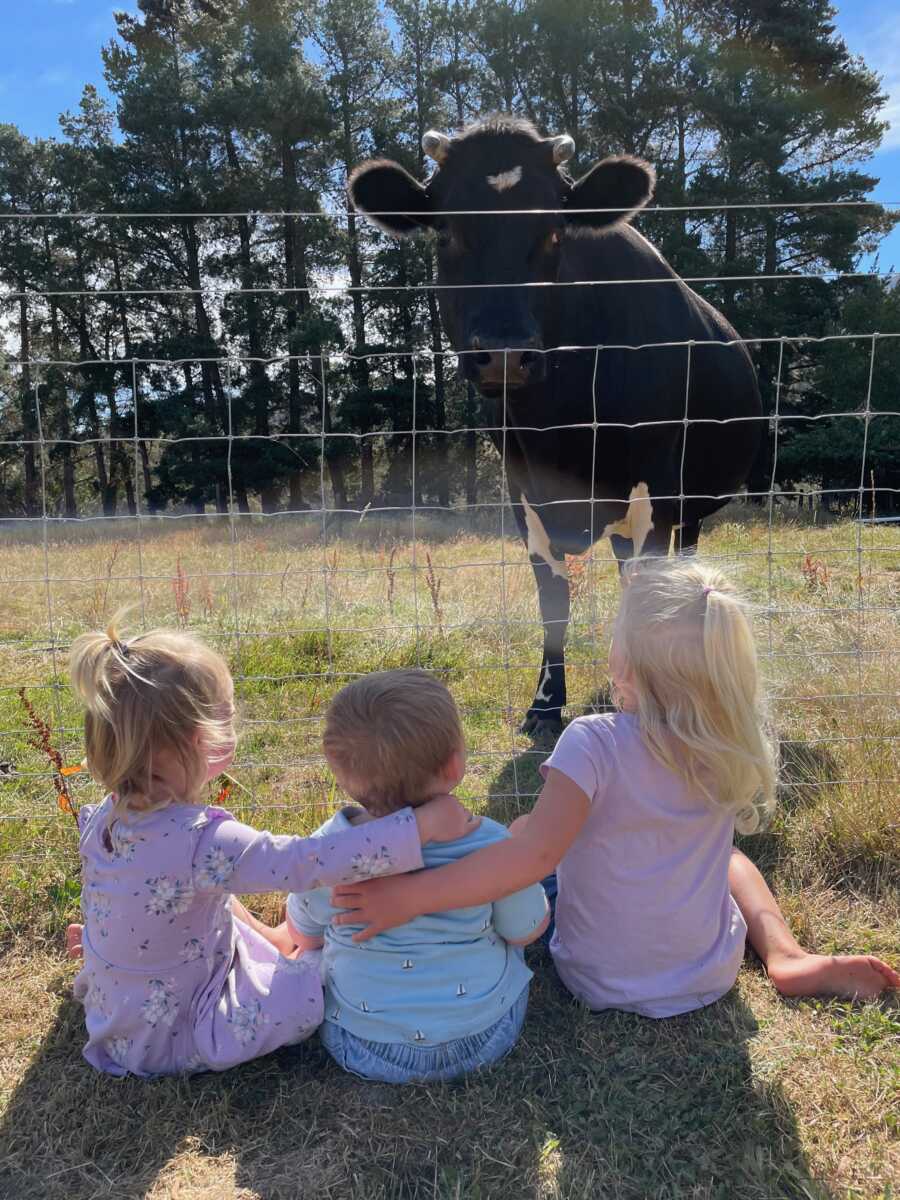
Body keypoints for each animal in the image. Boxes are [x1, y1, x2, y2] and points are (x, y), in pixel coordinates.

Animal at [350, 119, 763, 729]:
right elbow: (553, 604)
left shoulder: (654, 497)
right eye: (445, 232)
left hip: (689, 506)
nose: (503, 355)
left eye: (554, 234)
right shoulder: (525, 496)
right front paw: (545, 704)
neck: (562, 428)